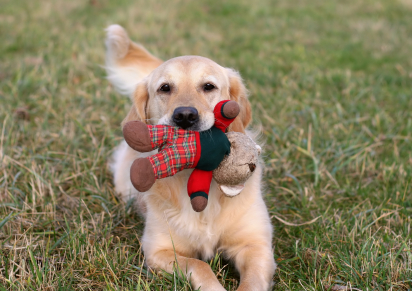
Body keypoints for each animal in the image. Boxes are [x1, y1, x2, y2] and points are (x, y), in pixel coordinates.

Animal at [105, 24, 276, 290]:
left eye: (208, 86)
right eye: (165, 88)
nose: (185, 115)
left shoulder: (256, 246)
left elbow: (252, 283)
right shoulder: (159, 251)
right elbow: (200, 266)